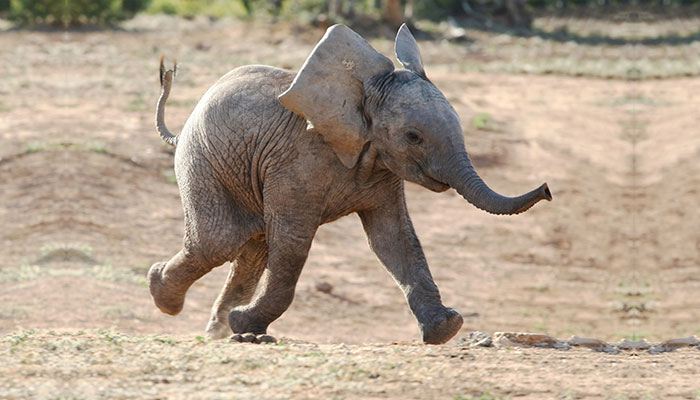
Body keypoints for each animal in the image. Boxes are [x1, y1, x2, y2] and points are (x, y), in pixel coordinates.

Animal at [148, 24, 551, 345]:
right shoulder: (297, 163)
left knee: (250, 248)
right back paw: (165, 294)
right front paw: (244, 324)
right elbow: (293, 242)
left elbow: (394, 238)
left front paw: (446, 329)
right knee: (219, 241)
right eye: (413, 137)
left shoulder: (382, 169)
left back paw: (219, 330)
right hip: (203, 161)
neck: (362, 95)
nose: (547, 190)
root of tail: (182, 128)